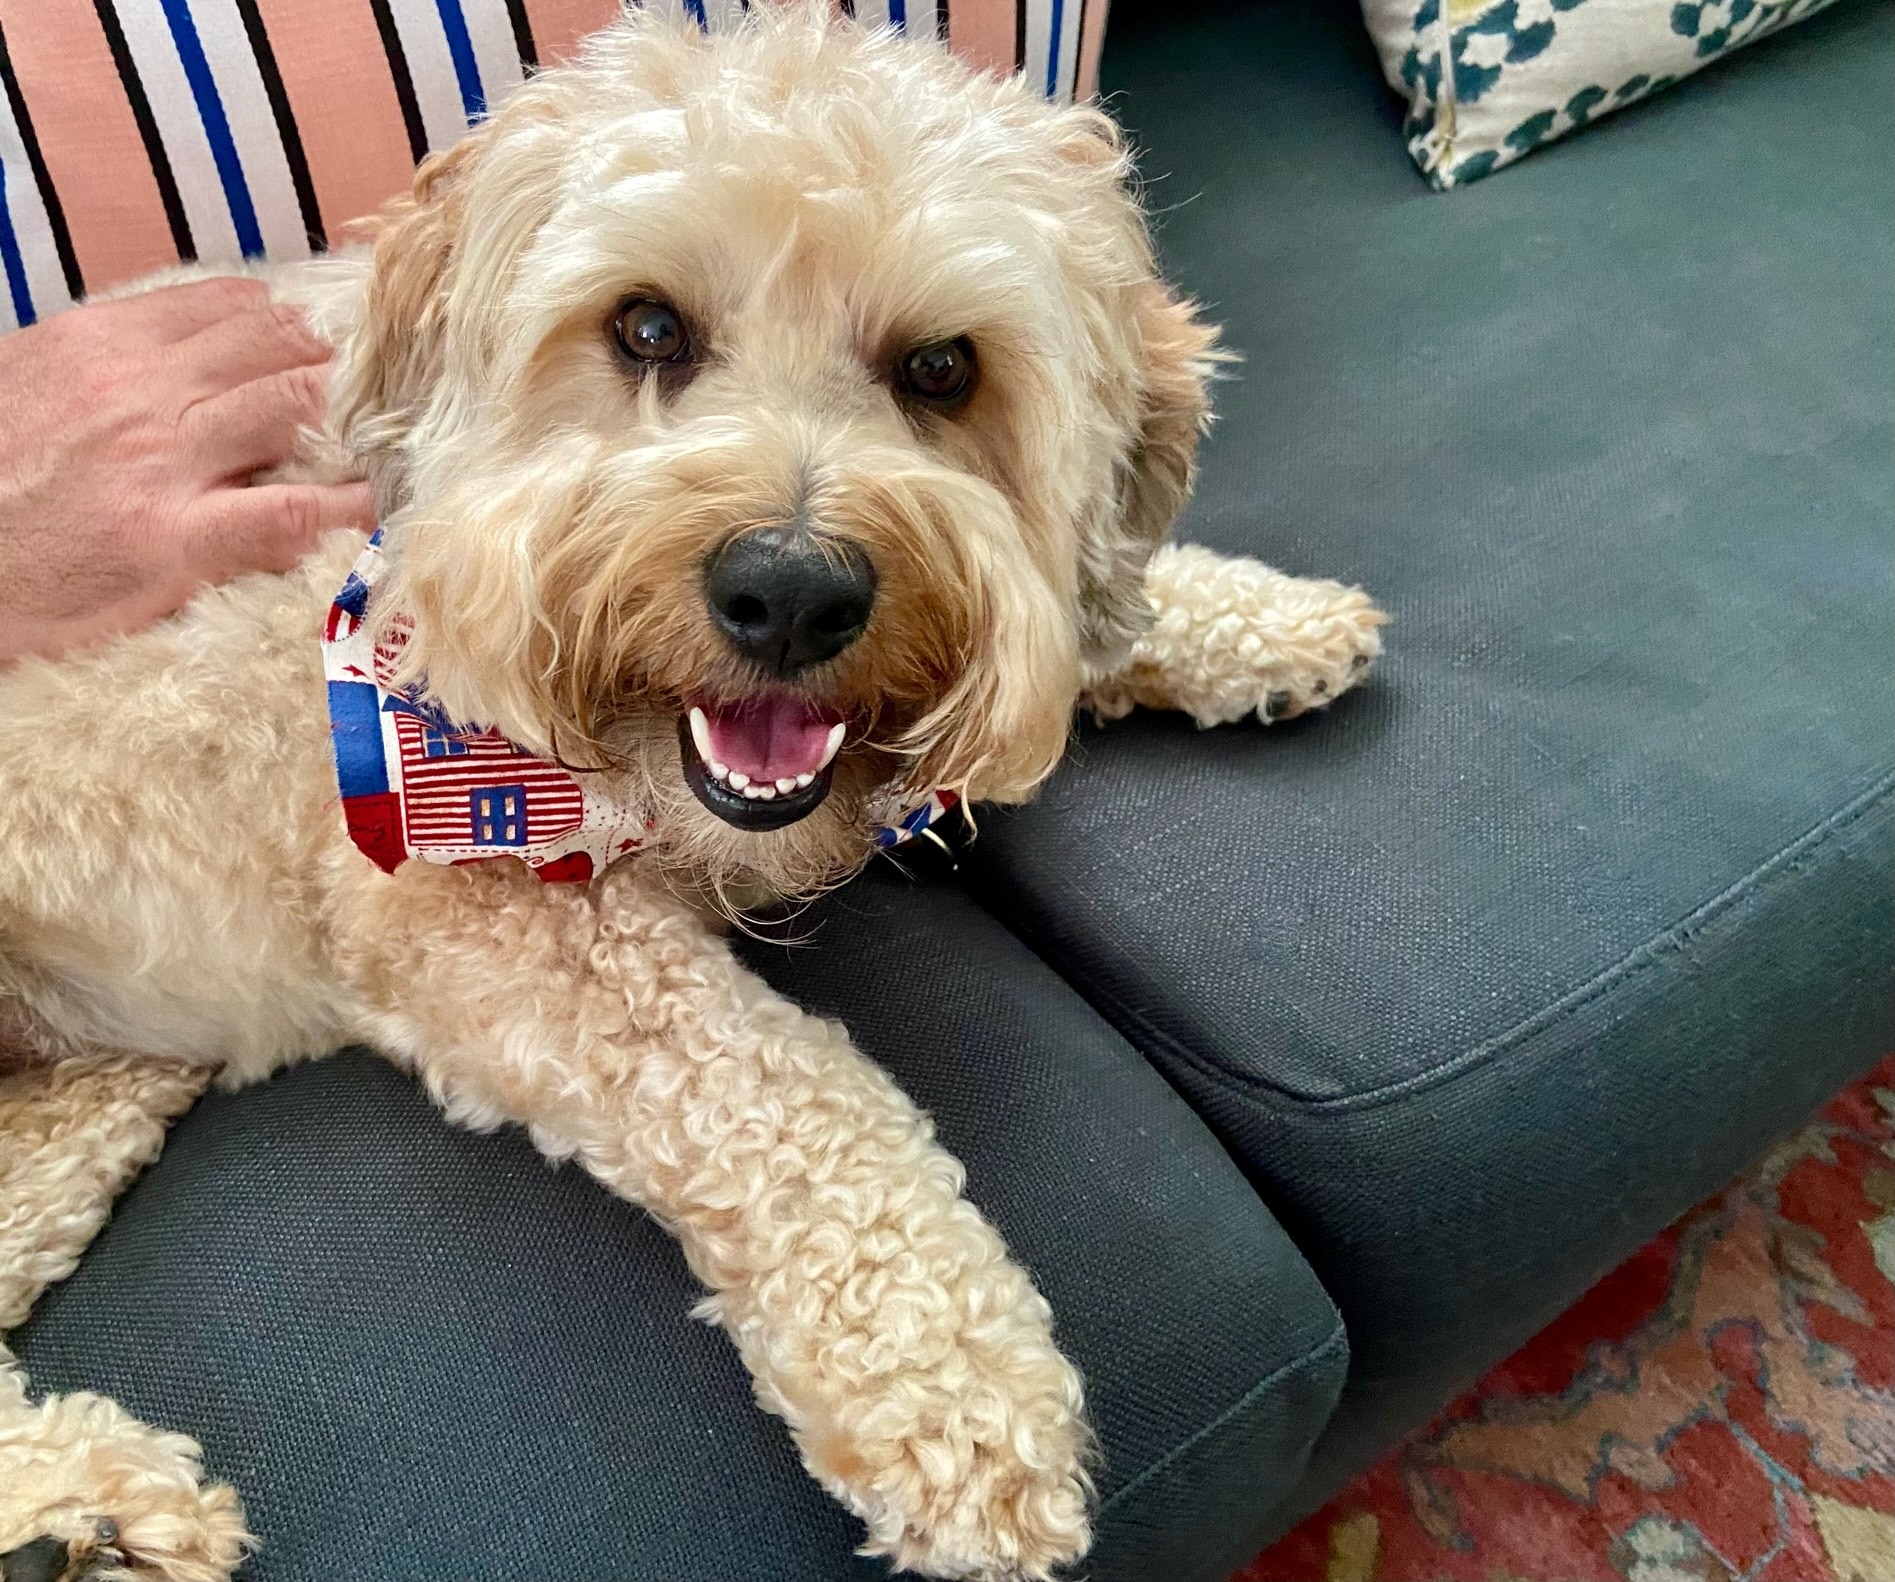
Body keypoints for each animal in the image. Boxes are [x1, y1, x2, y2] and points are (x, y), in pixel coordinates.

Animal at [0, 6, 1379, 1576]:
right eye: (647, 328)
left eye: (941, 368)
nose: (788, 589)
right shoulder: (470, 903)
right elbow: (782, 1093)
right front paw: (956, 1385)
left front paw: (1257, 617)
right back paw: (81, 1501)